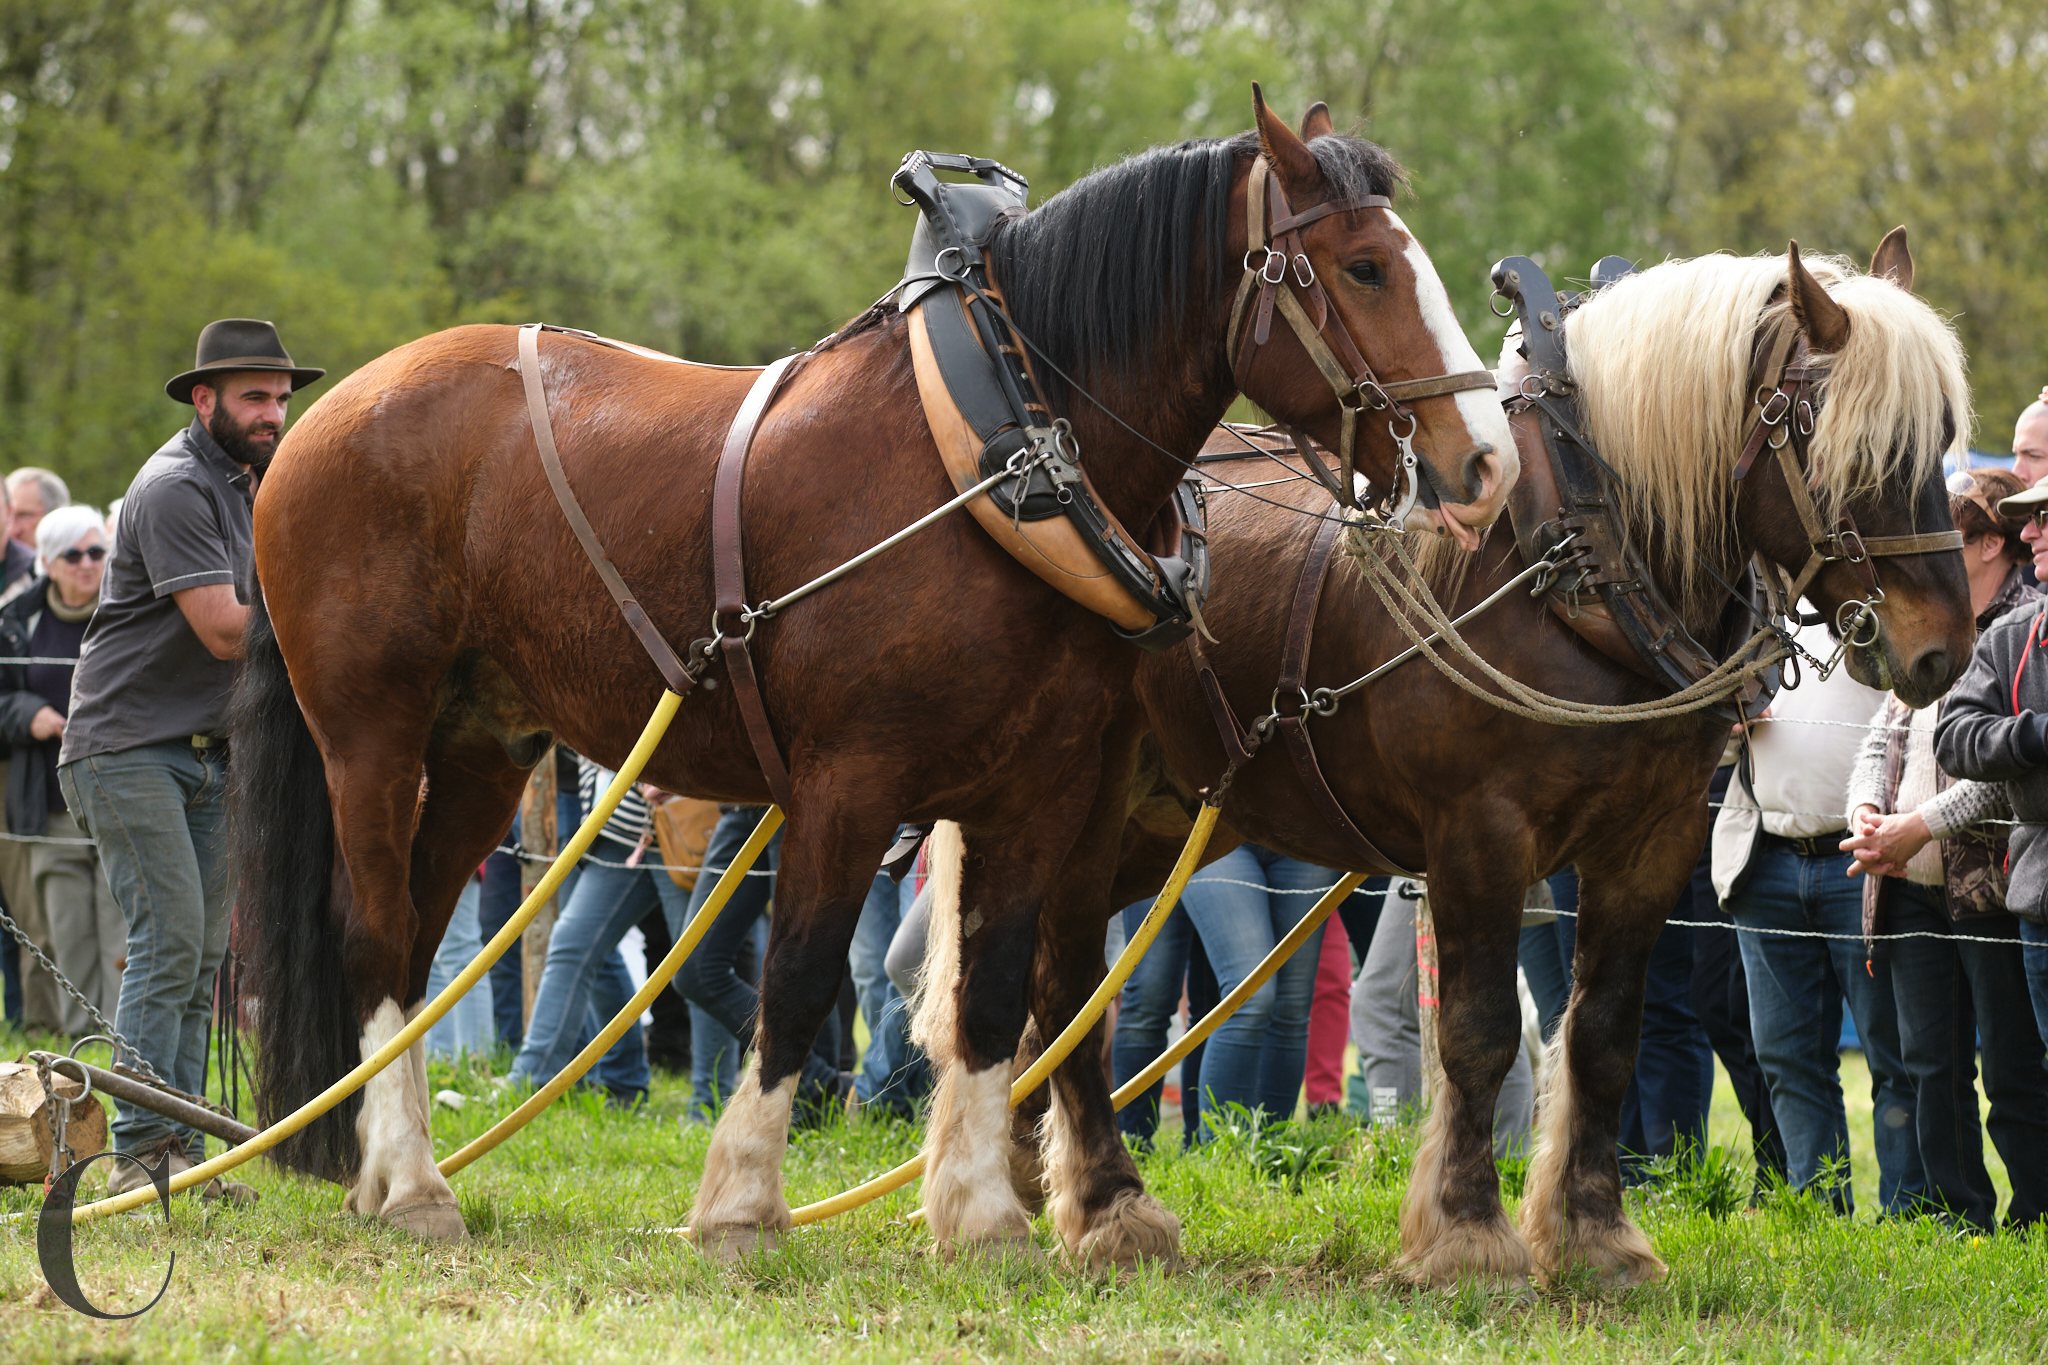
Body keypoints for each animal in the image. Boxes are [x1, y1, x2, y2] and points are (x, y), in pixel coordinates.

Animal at [232, 90, 1523, 1252]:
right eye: (1364, 267)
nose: (1485, 464)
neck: (996, 457)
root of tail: (324, 414)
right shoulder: (847, 783)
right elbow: (800, 981)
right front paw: (741, 1204)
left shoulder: (1039, 790)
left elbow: (994, 993)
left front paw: (983, 1217)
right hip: (370, 732)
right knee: (371, 935)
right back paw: (411, 1186)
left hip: (482, 746)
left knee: (413, 940)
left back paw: (381, 1173)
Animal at [937, 227, 1974, 1285]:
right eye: (1849, 440)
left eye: (1941, 436)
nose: (1943, 648)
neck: (1575, 565)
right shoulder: (1481, 832)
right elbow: (1479, 1032)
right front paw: (1471, 1234)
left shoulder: (1654, 840)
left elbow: (1603, 1034)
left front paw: (1597, 1233)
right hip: (1083, 804)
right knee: (1065, 983)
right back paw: (1105, 1202)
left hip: (1166, 819)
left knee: (1046, 996)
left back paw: (1023, 1175)